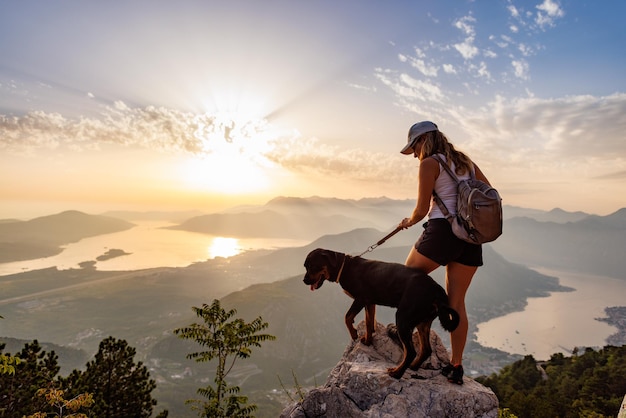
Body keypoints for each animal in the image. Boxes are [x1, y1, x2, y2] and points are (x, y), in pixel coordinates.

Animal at [302, 248, 458, 378]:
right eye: (305, 266)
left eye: (313, 266)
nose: (304, 280)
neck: (344, 267)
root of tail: (437, 291)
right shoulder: (370, 302)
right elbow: (369, 321)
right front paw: (368, 339)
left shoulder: (361, 299)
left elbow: (347, 317)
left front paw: (354, 333)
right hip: (423, 322)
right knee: (426, 349)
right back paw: (413, 367)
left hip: (403, 318)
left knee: (411, 352)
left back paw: (397, 373)